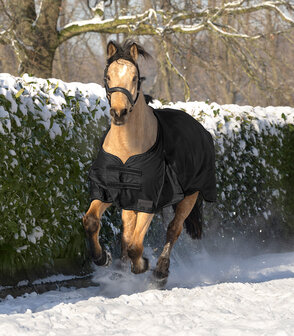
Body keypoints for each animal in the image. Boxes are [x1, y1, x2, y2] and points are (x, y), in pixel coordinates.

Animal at [82, 40, 216, 284]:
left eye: (135, 77)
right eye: (108, 76)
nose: (119, 113)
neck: (127, 149)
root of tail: (200, 128)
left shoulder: (149, 199)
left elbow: (136, 245)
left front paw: (141, 265)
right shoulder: (109, 191)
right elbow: (92, 222)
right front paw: (102, 258)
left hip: (190, 196)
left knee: (173, 230)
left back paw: (160, 272)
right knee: (127, 231)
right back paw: (120, 270)